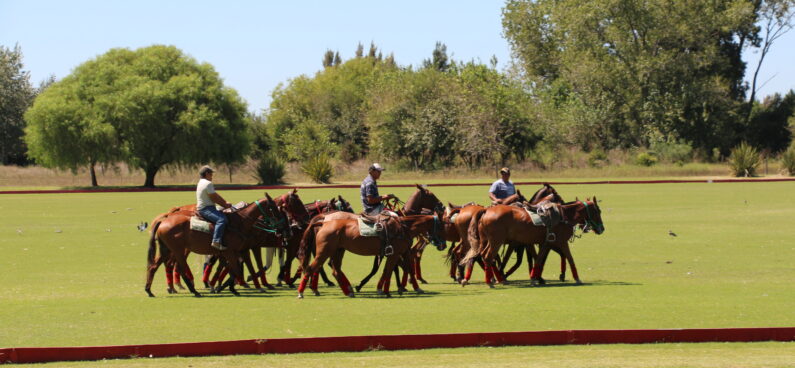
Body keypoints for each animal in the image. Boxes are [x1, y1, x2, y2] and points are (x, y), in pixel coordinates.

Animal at [146, 194, 286, 298]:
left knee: (155, 266)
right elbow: (235, 269)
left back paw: (150, 290)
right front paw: (225, 288)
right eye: (273, 208)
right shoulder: (230, 251)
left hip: (167, 249)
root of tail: (163, 220)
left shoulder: (234, 252)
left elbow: (233, 269)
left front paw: (227, 287)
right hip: (178, 250)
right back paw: (194, 291)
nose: (281, 227)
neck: (240, 223)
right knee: (179, 268)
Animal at [298, 214, 448, 298]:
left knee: (335, 270)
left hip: (338, 250)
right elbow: (388, 271)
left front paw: (412, 288)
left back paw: (349, 291)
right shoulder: (394, 254)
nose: (443, 245)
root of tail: (323, 222)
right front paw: (385, 291)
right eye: (441, 227)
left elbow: (407, 269)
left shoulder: (404, 252)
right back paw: (302, 293)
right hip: (324, 251)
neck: (404, 228)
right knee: (312, 268)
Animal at [464, 198, 608, 288]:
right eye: (598, 211)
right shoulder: (562, 242)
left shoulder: (546, 243)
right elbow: (570, 259)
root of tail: (486, 210)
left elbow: (538, 260)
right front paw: (577, 278)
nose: (601, 229)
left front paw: (534, 278)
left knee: (481, 256)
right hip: (496, 241)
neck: (565, 216)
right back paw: (490, 282)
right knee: (488, 257)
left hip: (484, 240)